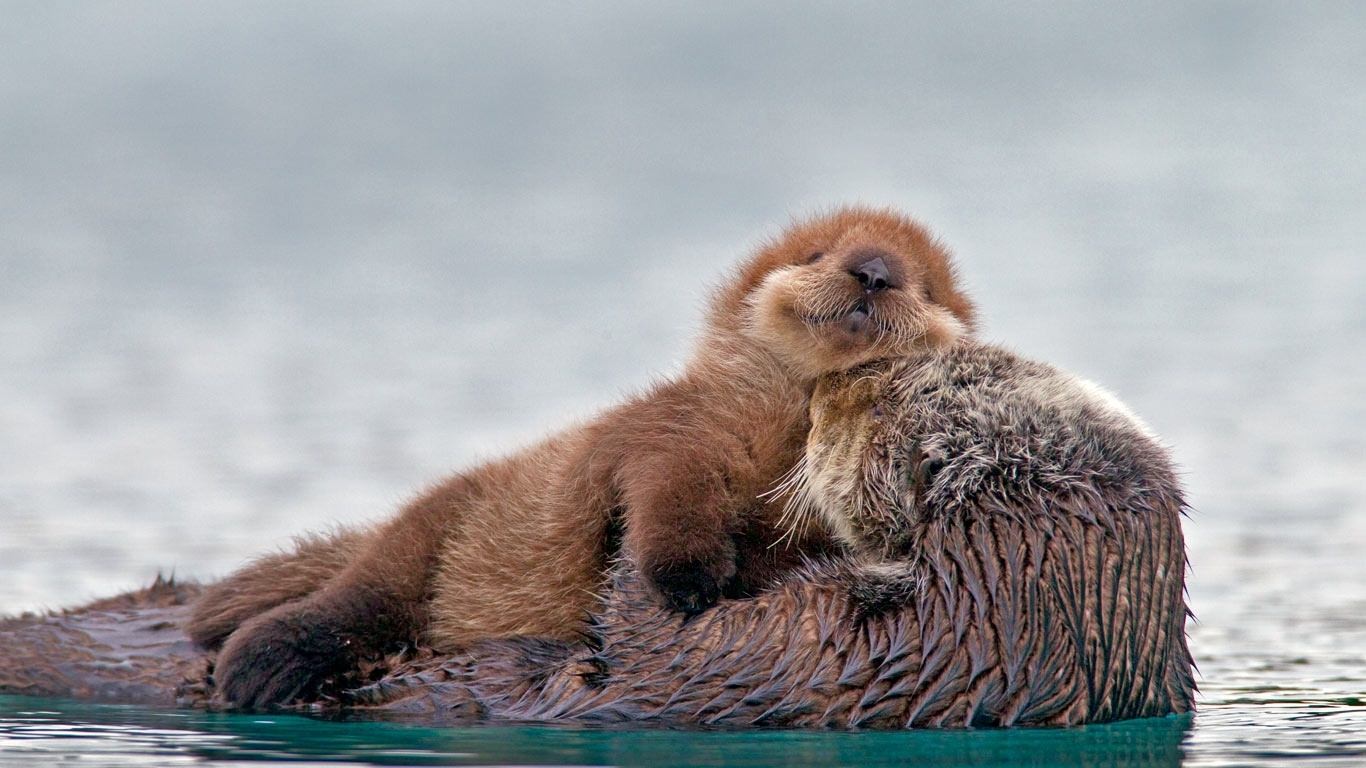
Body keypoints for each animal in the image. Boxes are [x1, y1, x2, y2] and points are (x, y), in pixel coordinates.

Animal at [187, 204, 978, 705]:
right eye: (816, 255)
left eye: (924, 285)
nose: (872, 270)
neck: (785, 424)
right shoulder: (674, 428)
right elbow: (666, 488)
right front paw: (687, 577)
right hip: (423, 536)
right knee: (354, 602)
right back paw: (261, 662)